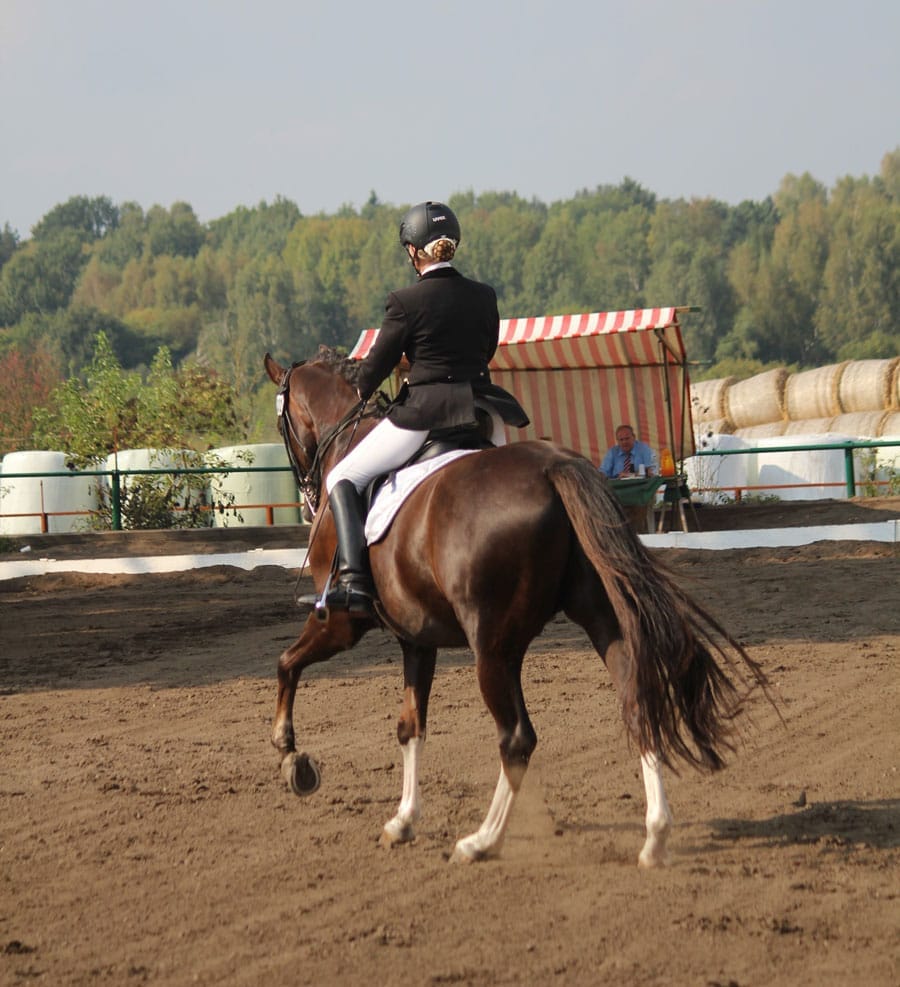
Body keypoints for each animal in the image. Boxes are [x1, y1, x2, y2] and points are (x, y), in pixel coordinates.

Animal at [264, 346, 768, 866]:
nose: (307, 497)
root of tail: (552, 468)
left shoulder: (342, 622)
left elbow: (286, 664)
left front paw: (293, 759)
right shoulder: (416, 637)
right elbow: (410, 727)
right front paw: (402, 821)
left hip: (492, 648)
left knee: (517, 739)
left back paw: (481, 841)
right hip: (598, 619)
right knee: (637, 701)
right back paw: (655, 835)